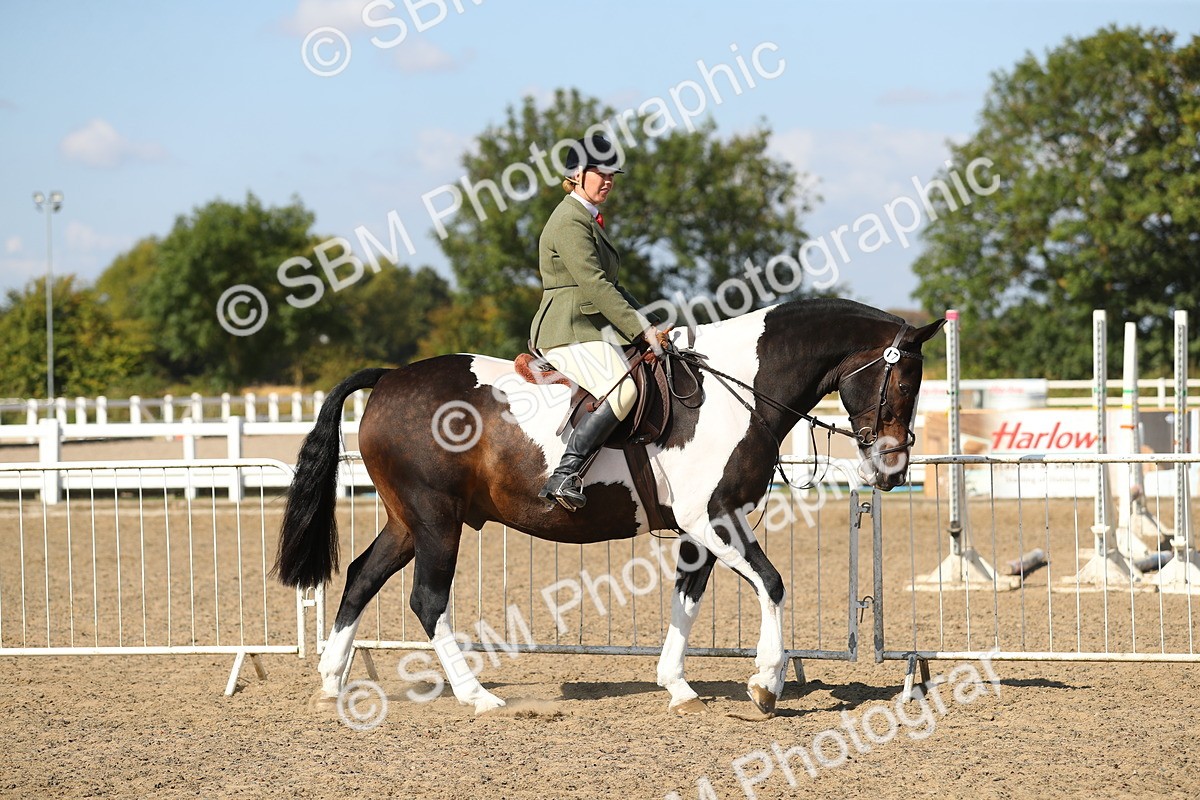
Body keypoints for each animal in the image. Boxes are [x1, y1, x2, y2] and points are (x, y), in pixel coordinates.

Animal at [274, 298, 945, 716]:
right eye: (905, 381)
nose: (893, 470)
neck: (740, 389)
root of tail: (389, 379)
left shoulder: (702, 530)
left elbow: (687, 599)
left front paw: (678, 686)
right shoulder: (714, 519)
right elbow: (774, 583)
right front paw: (766, 683)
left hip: (407, 522)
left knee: (360, 579)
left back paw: (330, 684)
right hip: (437, 522)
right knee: (427, 600)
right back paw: (477, 696)